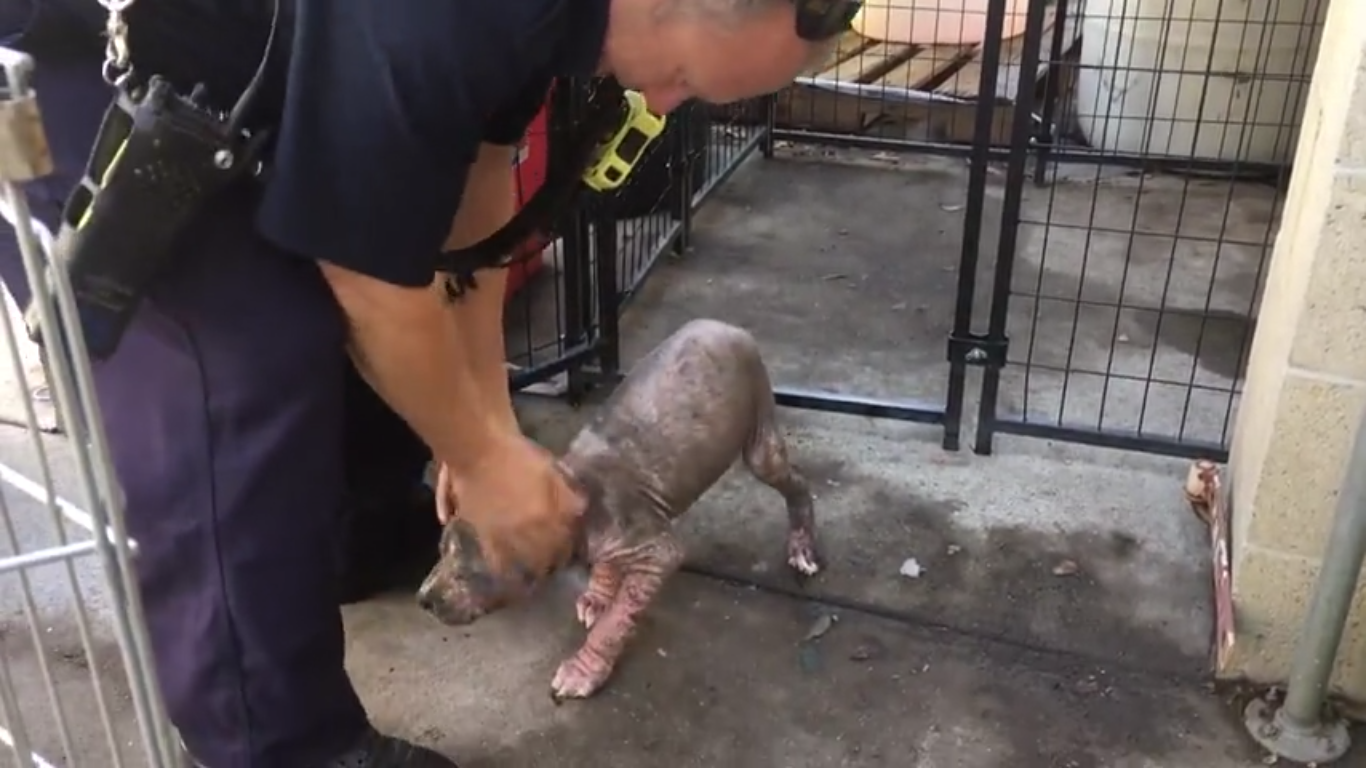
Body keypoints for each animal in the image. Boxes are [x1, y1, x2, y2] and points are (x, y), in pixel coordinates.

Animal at [415, 317, 819, 699]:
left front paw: (584, 669)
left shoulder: (657, 551)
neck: (570, 490)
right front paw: (598, 596)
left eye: (468, 572)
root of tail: (727, 325)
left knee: (793, 478)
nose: (423, 600)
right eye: (440, 549)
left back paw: (802, 546)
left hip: (759, 428)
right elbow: (607, 567)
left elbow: (617, 621)